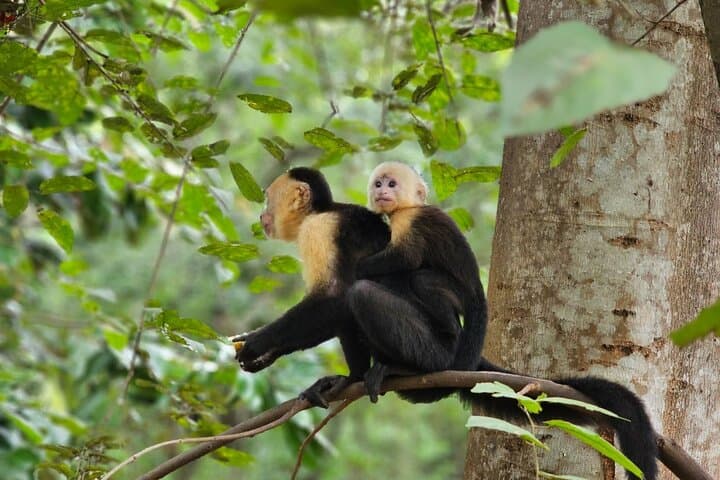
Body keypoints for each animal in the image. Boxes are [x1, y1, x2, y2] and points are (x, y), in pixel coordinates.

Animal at [349, 161, 658, 480]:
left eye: (392, 184)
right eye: (378, 184)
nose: (382, 191)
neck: (407, 208)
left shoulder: (410, 221)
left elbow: (405, 257)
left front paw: (356, 265)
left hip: (457, 302)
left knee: (422, 280)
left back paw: (443, 335)